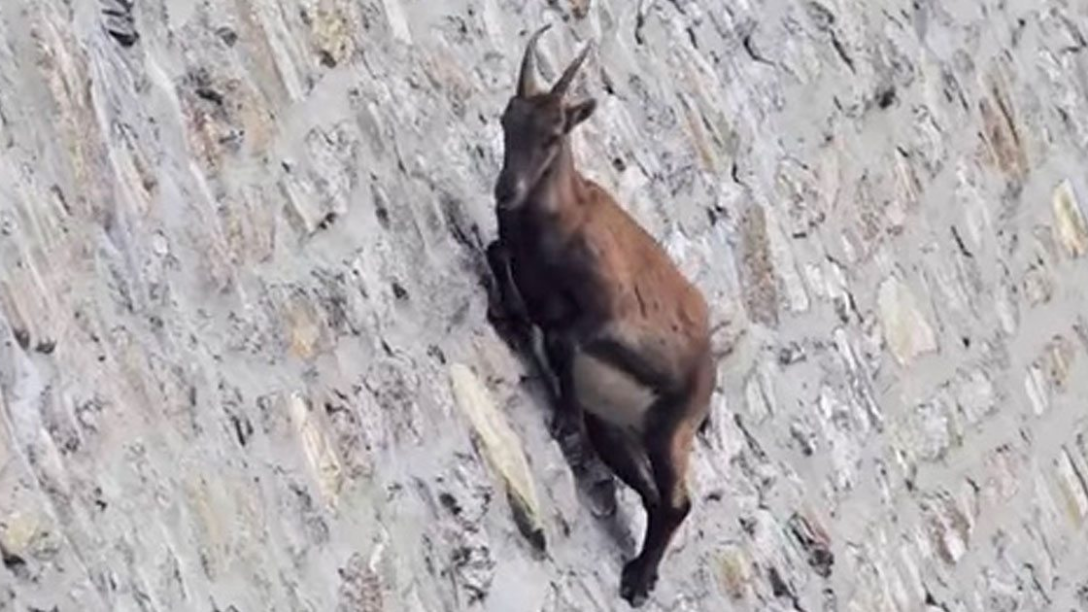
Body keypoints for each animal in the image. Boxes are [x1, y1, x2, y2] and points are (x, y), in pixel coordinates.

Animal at [484, 24, 716, 608]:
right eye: (507, 119)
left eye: (554, 134)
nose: (506, 190)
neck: (560, 219)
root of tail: (711, 374)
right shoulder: (516, 256)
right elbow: (498, 254)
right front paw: (513, 316)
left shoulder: (609, 314)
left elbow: (565, 338)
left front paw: (563, 420)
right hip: (617, 428)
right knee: (654, 496)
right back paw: (640, 572)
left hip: (669, 430)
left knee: (678, 501)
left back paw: (637, 580)